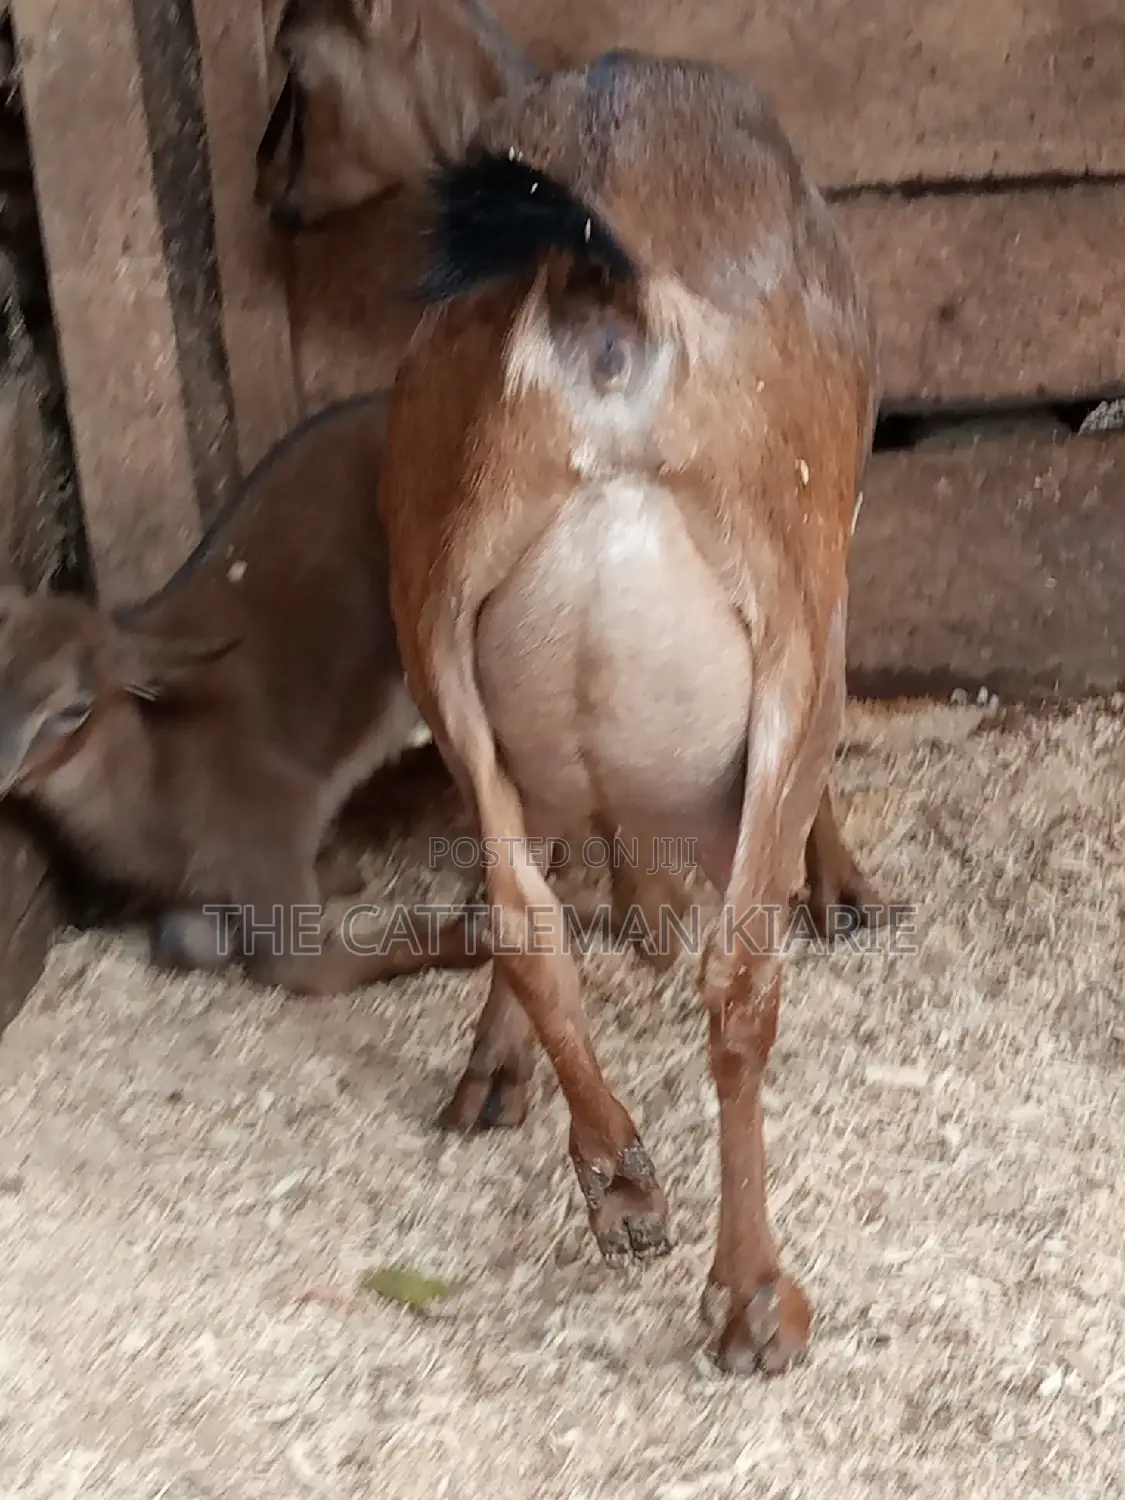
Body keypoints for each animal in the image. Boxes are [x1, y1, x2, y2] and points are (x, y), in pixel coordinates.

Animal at [0, 393, 483, 994]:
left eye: (73, 707)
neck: (158, 778)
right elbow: (181, 942)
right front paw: (342, 871)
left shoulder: (271, 832)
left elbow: (300, 967)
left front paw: (476, 937)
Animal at [373, 50, 881, 1374]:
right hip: (790, 626)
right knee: (739, 983)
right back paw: (753, 1297)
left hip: (435, 624)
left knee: (524, 917)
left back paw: (617, 1176)